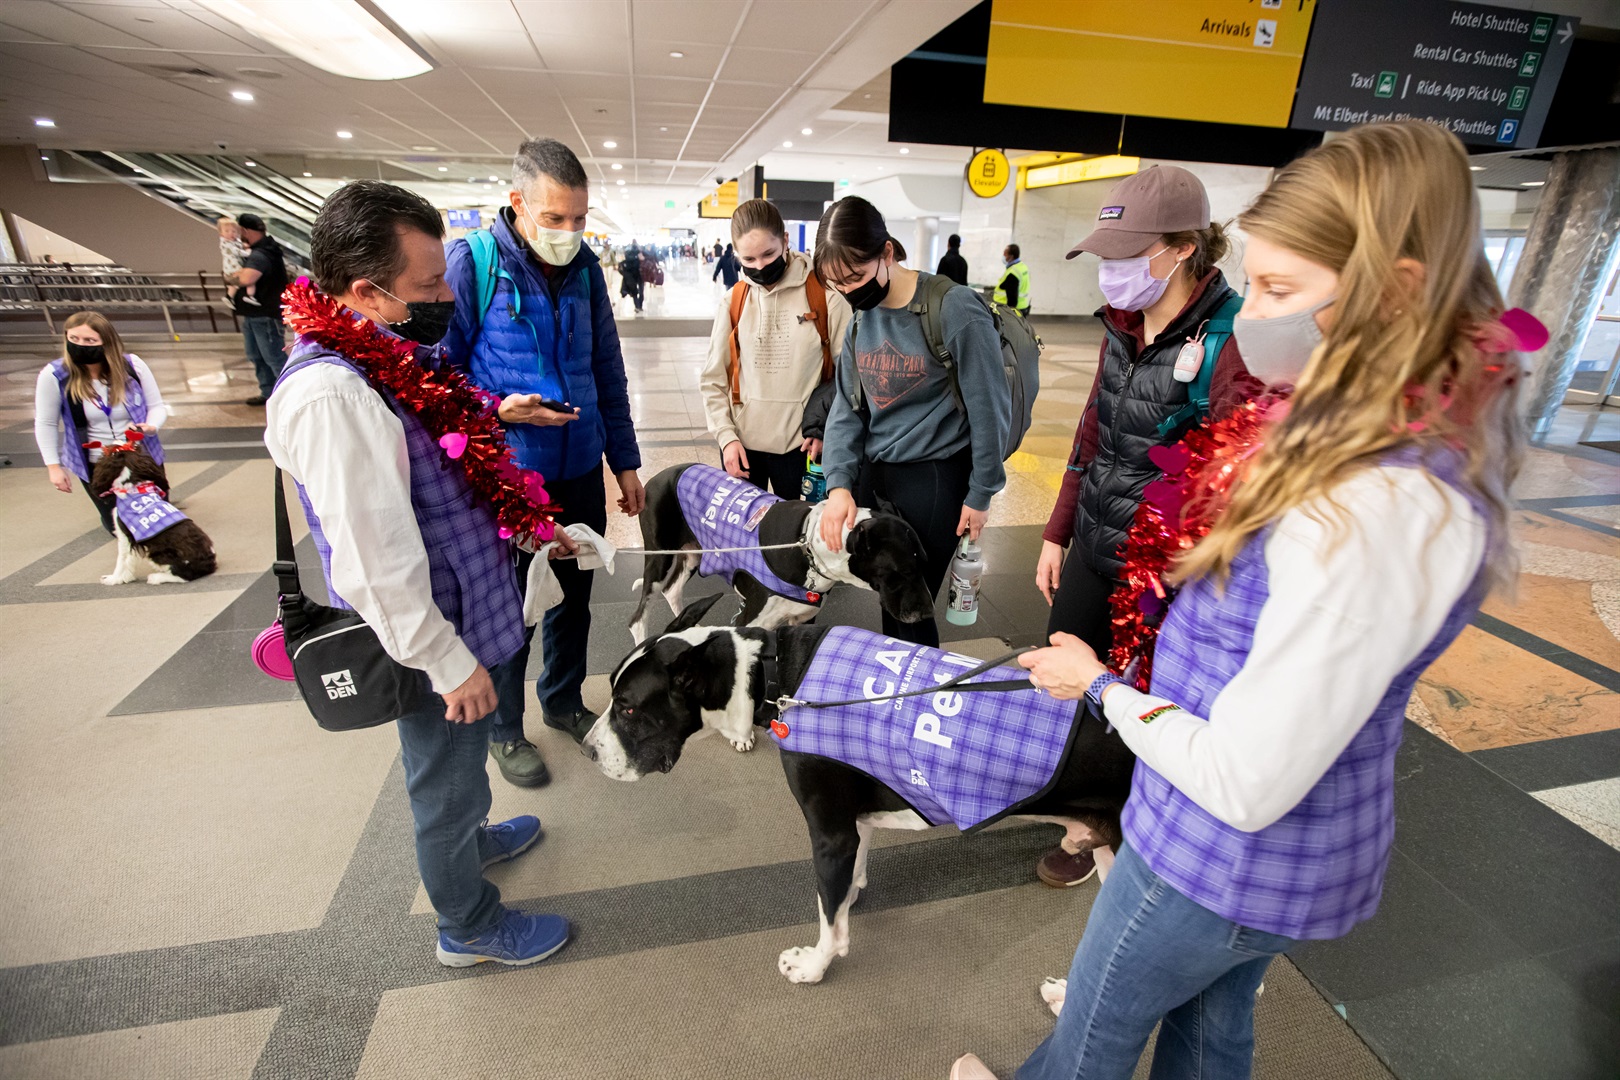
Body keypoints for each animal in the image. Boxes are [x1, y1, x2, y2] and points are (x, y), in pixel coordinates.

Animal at [589, 599, 1134, 990]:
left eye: (629, 708)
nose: (589, 749)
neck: (771, 677)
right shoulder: (855, 818)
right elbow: (841, 889)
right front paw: (849, 894)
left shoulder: (831, 834)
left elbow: (829, 921)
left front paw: (814, 965)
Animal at [631, 463, 939, 641]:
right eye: (904, 571)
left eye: (925, 565)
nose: (927, 613)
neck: (808, 547)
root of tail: (657, 477)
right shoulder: (749, 621)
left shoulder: (802, 620)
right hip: (658, 557)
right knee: (638, 617)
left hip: (693, 553)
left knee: (672, 589)